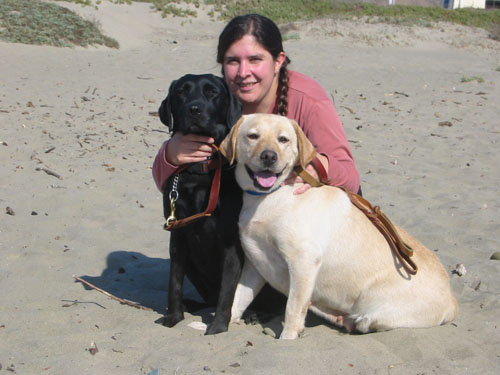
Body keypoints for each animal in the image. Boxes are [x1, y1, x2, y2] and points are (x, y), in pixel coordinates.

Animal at [155, 73, 247, 334]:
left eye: (212, 92)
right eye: (181, 92)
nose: (194, 109)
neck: (201, 169)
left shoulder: (231, 242)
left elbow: (227, 290)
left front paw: (218, 327)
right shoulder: (177, 234)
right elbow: (174, 282)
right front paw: (174, 315)